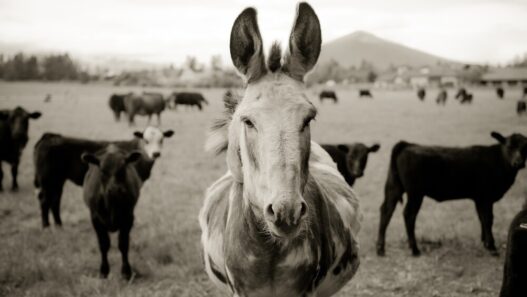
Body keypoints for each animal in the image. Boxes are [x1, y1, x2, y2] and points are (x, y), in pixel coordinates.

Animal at [33, 125, 173, 227]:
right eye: (146, 140)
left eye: (162, 140)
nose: (156, 153)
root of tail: (48, 137)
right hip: (47, 179)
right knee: (44, 200)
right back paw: (46, 226)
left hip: (57, 180)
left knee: (55, 199)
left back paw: (58, 224)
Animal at [81, 145, 142, 278]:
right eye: (102, 170)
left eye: (123, 169)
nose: (114, 189)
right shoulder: (95, 219)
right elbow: (104, 244)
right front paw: (104, 270)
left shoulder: (128, 218)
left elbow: (123, 244)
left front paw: (126, 272)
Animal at [378, 131, 527, 256]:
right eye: (509, 147)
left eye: (525, 148)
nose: (518, 163)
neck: (498, 160)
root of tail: (407, 144)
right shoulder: (486, 197)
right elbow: (488, 219)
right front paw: (491, 246)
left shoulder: (478, 198)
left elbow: (481, 218)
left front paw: (484, 241)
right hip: (415, 193)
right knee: (408, 215)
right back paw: (414, 249)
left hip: (394, 187)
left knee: (386, 210)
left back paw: (380, 248)